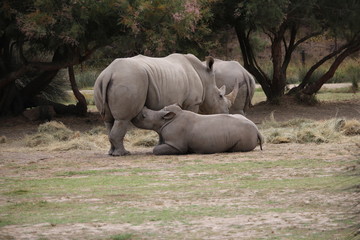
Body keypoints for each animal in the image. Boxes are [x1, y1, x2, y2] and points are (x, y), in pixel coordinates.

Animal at [133, 104, 264, 155]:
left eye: (143, 116)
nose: (134, 118)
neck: (162, 120)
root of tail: (257, 130)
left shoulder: (176, 145)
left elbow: (156, 149)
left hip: (246, 133)